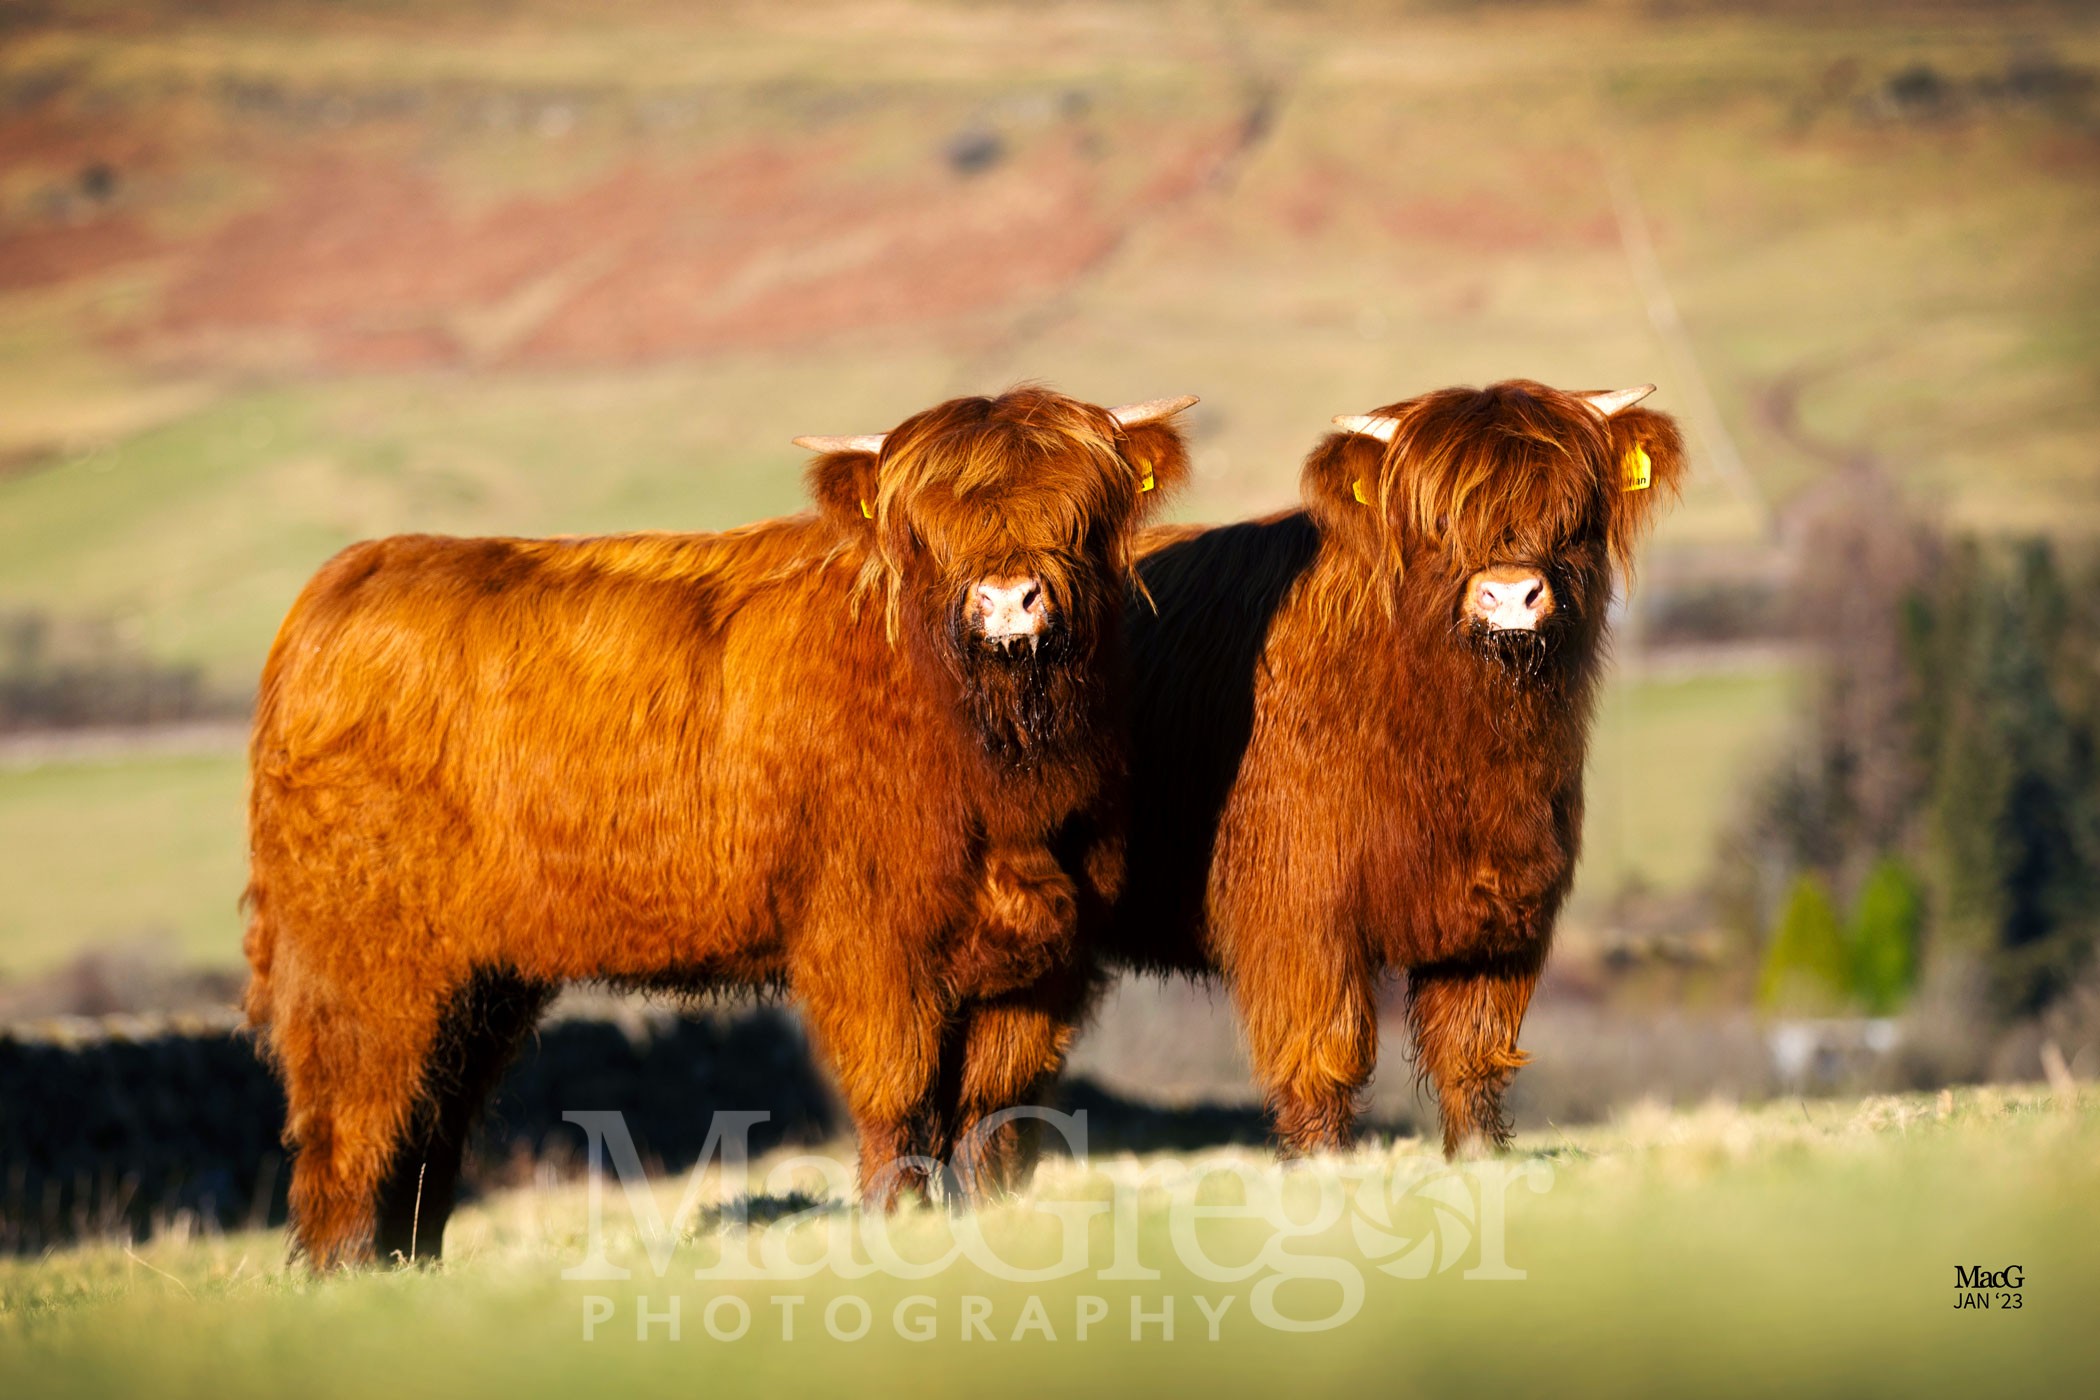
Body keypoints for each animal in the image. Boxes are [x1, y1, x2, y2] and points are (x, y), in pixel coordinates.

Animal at [240, 386, 1195, 1268]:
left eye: (1082, 510)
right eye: (924, 528)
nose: (1006, 602)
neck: (1002, 767)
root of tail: (345, 583)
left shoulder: (1045, 960)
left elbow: (993, 1115)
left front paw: (988, 1227)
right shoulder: (871, 946)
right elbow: (900, 1102)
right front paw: (897, 1229)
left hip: (477, 978)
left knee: (433, 1115)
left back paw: (410, 1264)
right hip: (360, 958)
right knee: (354, 1112)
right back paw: (342, 1269)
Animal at [942, 379, 1684, 1169]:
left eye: (1573, 514)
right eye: (1437, 520)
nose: (1511, 594)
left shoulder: (1500, 912)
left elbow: (1473, 1053)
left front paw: (1481, 1156)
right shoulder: (1299, 911)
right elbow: (1323, 1051)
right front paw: (1321, 1166)